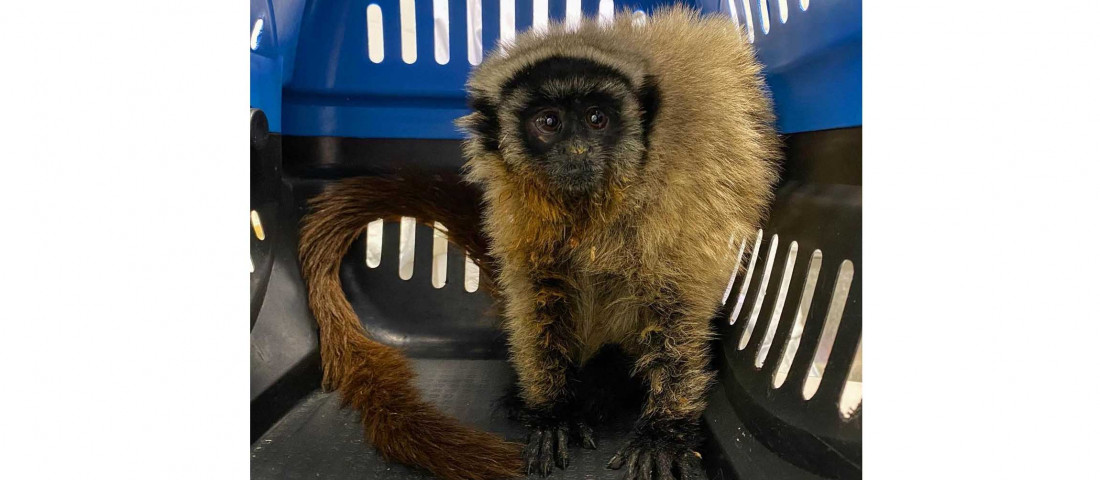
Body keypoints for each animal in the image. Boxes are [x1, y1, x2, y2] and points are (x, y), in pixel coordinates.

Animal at [297, 6, 779, 480]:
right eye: (549, 122)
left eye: (597, 119)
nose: (578, 151)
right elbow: (537, 295)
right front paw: (551, 412)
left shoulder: (676, 194)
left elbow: (678, 306)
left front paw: (663, 432)